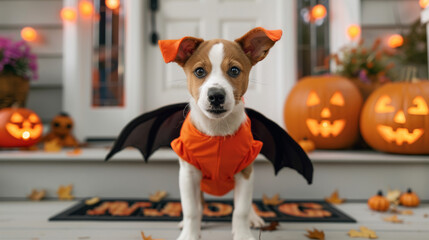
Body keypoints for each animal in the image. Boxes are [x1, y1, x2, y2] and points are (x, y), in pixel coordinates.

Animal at [157, 27, 280, 240]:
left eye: (234, 70)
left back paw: (254, 218)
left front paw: (243, 234)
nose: (216, 96)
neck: (217, 132)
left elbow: (241, 210)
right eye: (199, 71)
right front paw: (190, 234)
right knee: (198, 205)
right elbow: (191, 210)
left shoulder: (245, 173)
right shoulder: (188, 174)